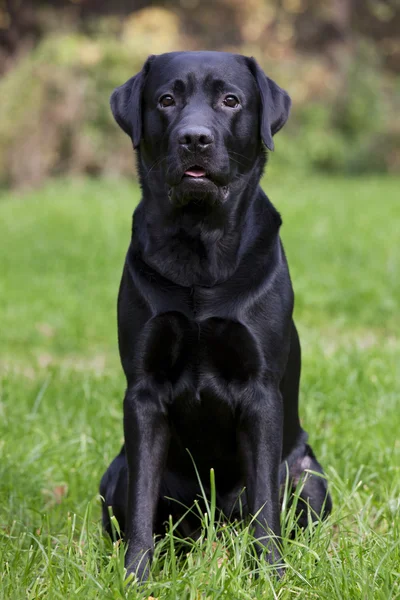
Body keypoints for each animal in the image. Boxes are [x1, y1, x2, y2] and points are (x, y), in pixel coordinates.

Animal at [100, 51, 332, 580]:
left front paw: (271, 574)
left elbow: (265, 500)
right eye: (166, 99)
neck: (200, 251)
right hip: (113, 475)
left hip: (308, 474)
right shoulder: (142, 394)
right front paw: (136, 575)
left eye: (230, 100)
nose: (195, 138)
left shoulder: (262, 391)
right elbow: (141, 501)